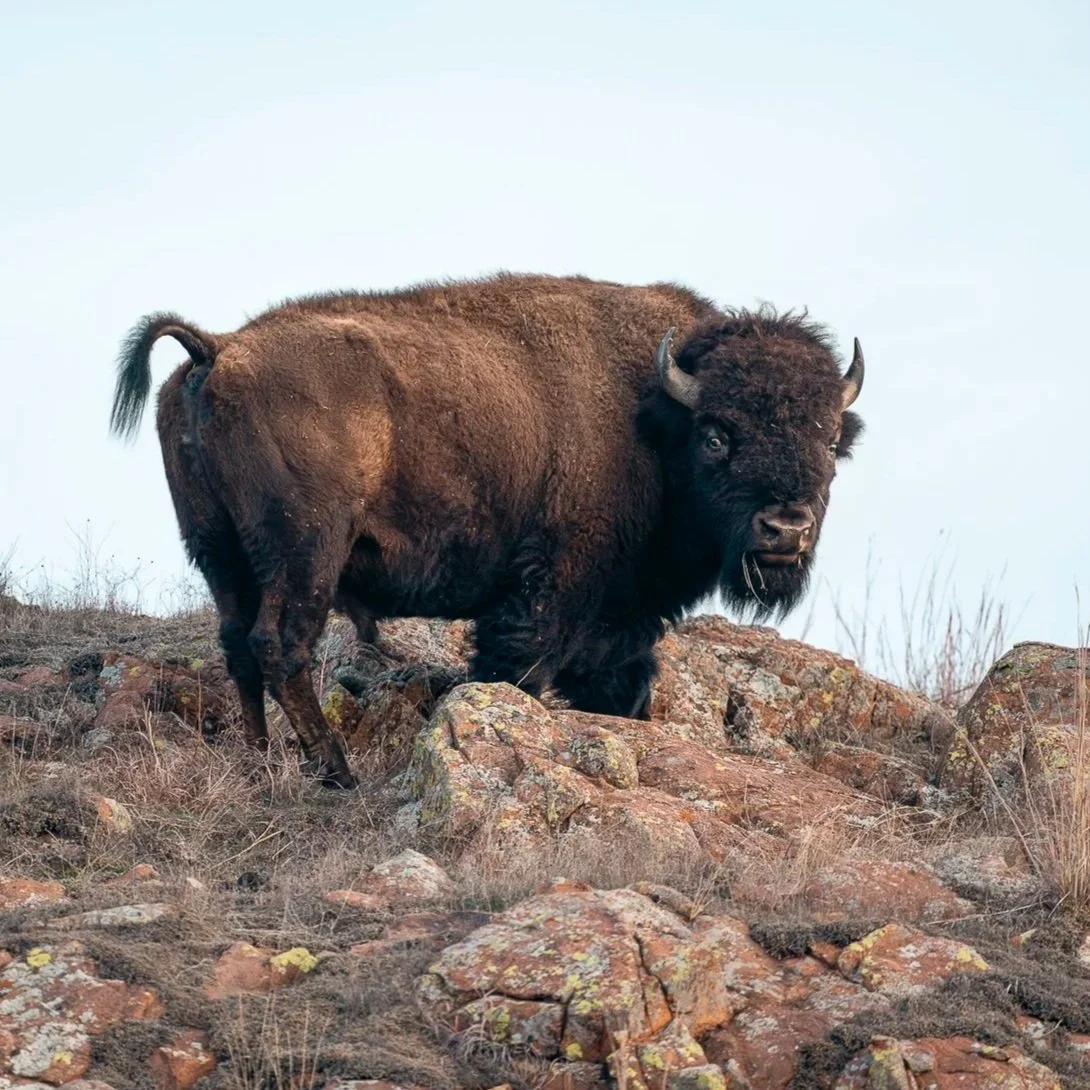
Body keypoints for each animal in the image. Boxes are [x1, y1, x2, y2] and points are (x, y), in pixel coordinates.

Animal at [110, 273, 864, 788]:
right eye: (716, 436)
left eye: (829, 440)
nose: (784, 528)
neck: (653, 416)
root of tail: (217, 350)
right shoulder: (547, 594)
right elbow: (519, 669)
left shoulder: (622, 619)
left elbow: (623, 685)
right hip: (305, 552)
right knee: (279, 646)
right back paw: (337, 772)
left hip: (218, 553)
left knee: (237, 646)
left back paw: (260, 761)